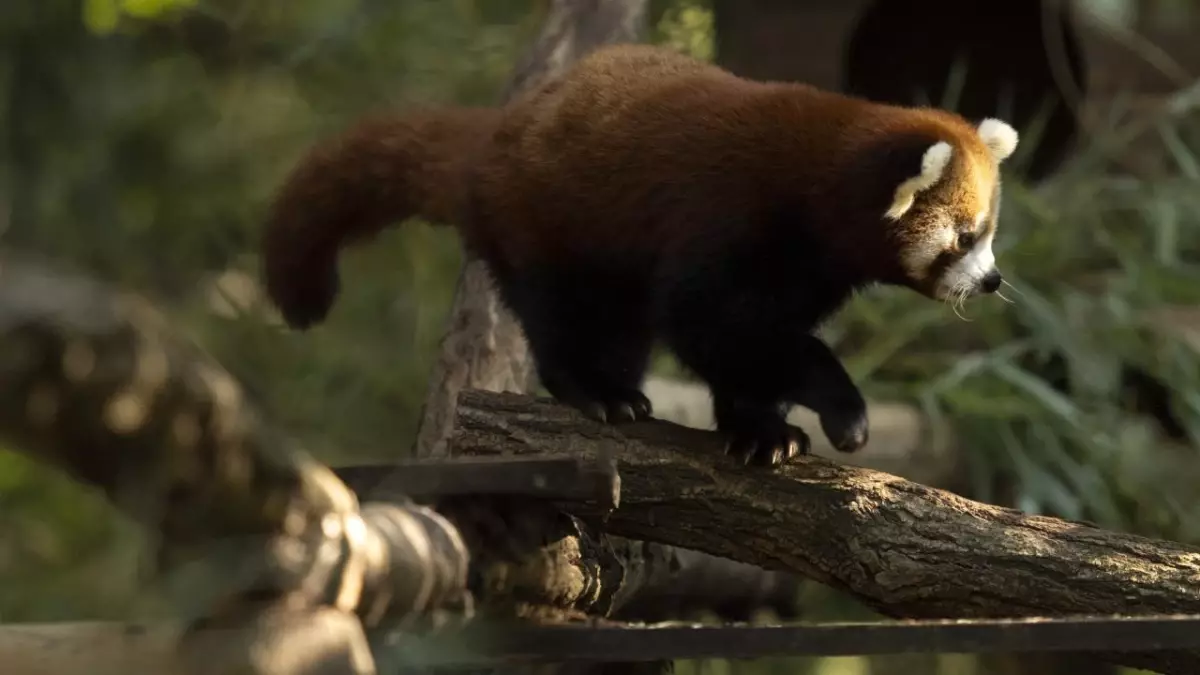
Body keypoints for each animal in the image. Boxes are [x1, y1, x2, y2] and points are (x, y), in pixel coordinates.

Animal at [258, 40, 1017, 461]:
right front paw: (842, 409)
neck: (817, 187)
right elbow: (716, 327)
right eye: (965, 236)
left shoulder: (806, 275)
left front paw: (758, 428)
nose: (992, 281)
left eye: (988, 234)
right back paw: (598, 392)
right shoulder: (725, 223)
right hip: (549, 226)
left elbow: (749, 346)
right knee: (567, 320)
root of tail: (499, 131)